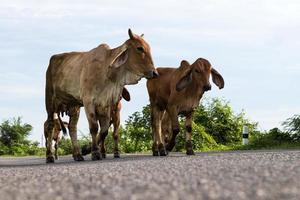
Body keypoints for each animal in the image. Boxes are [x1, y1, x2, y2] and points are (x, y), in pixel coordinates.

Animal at [45, 28, 157, 162]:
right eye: (140, 48)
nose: (155, 73)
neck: (107, 72)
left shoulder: (106, 105)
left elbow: (104, 131)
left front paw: (97, 151)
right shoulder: (88, 102)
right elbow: (94, 128)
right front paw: (95, 152)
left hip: (74, 106)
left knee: (72, 127)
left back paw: (77, 154)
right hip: (50, 101)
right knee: (50, 125)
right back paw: (49, 156)